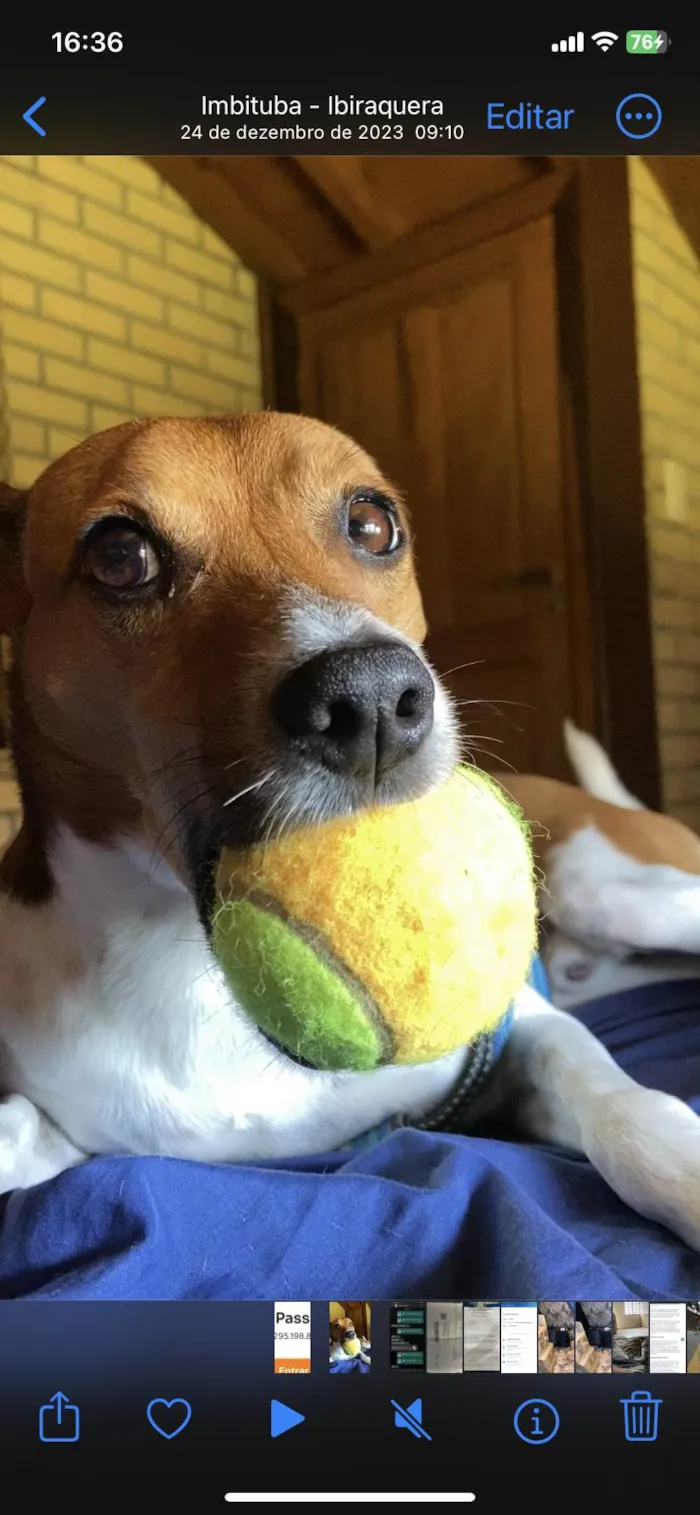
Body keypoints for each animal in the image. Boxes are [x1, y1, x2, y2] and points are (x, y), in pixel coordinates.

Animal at [0, 409, 700, 1260]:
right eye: (119, 555)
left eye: (372, 523)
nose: (370, 699)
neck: (189, 966)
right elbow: (19, 1134)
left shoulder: (526, 1031)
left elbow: (626, 1108)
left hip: (612, 890)